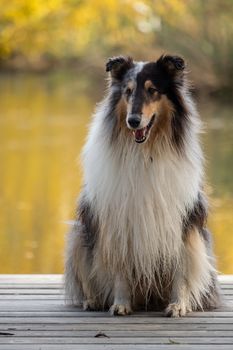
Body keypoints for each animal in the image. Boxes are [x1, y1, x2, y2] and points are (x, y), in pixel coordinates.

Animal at [64, 54, 220, 318]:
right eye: (127, 92)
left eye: (152, 90)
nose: (133, 121)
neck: (146, 153)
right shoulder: (118, 220)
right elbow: (119, 268)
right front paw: (120, 304)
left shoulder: (181, 220)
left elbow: (181, 268)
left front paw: (178, 305)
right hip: (79, 235)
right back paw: (94, 300)